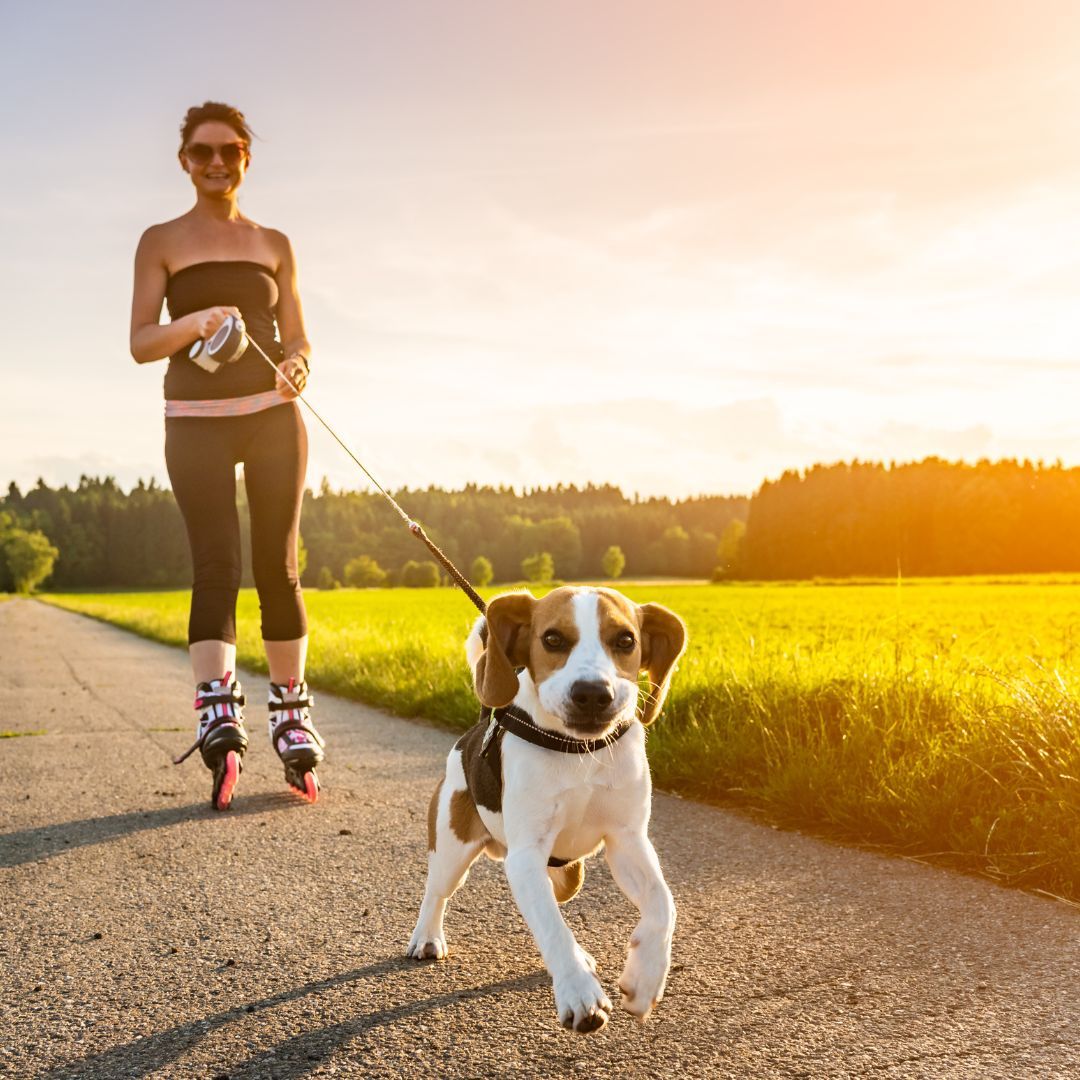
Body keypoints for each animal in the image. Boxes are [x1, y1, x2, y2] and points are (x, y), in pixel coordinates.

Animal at [408, 587, 686, 1032]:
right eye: (552, 639)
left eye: (626, 640)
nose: (593, 693)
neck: (580, 751)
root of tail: (476, 727)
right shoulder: (525, 857)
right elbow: (553, 928)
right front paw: (579, 992)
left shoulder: (628, 841)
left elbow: (663, 904)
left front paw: (645, 978)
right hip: (452, 847)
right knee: (437, 892)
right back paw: (427, 937)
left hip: (569, 873)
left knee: (557, 897)